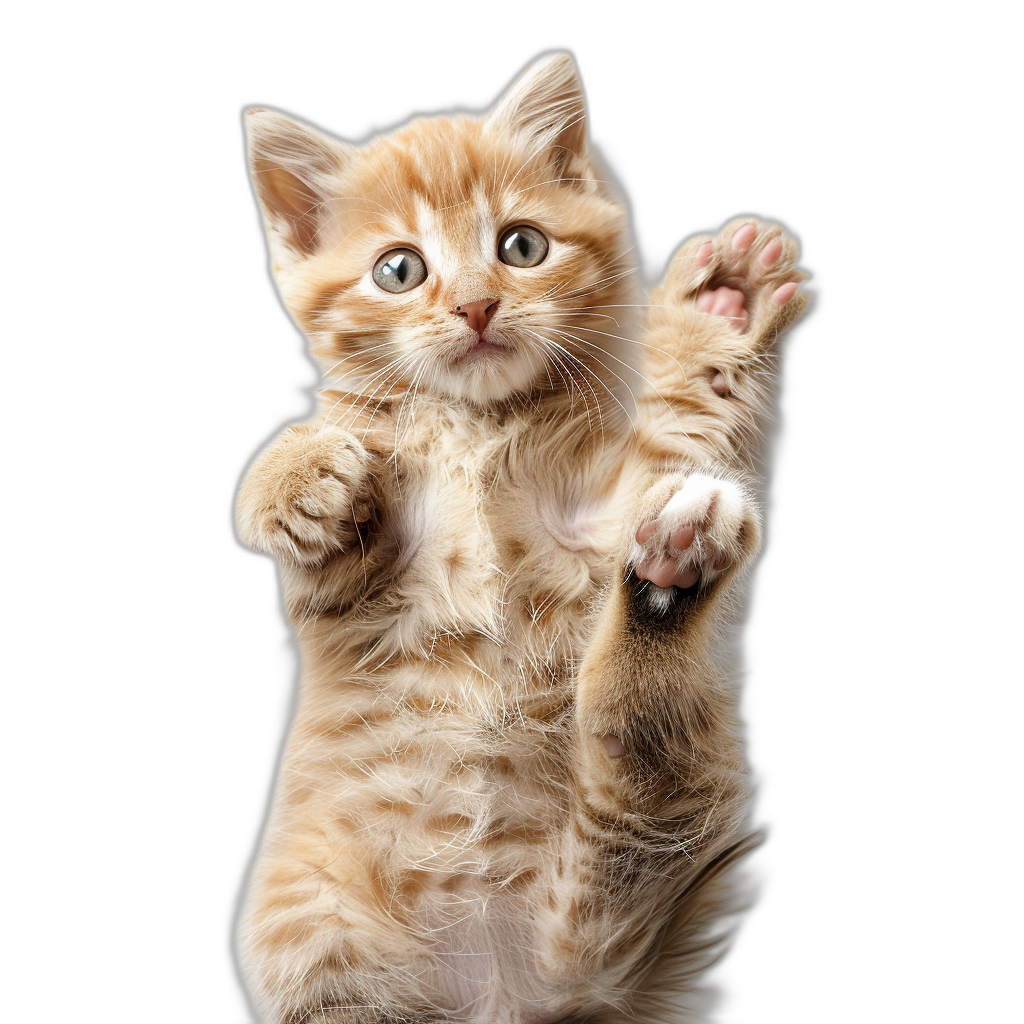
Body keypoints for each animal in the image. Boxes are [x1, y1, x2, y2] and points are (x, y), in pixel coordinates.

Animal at [232, 48, 806, 1024]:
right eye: (399, 270)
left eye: (522, 247)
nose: (475, 308)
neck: (479, 429)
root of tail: (510, 992)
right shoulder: (345, 589)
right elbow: (304, 478)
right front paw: (299, 478)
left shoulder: (623, 496)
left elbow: (684, 418)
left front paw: (722, 307)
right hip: (317, 944)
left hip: (665, 822)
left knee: (636, 739)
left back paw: (670, 577)